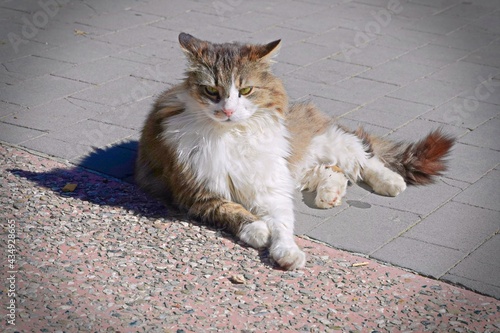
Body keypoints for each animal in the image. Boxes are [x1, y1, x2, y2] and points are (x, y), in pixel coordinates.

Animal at [135, 31, 456, 270]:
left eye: (246, 91)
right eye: (212, 91)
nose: (228, 110)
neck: (234, 135)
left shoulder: (270, 187)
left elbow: (282, 224)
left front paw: (287, 252)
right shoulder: (196, 192)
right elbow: (231, 211)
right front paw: (256, 230)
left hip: (324, 144)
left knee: (362, 156)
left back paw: (390, 182)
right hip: (298, 164)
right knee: (334, 170)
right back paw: (330, 195)